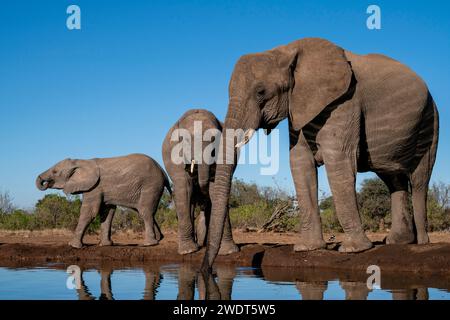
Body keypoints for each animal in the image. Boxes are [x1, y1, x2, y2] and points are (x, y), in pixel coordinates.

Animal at [36, 152, 171, 248]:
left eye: (55, 172)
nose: (43, 182)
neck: (81, 161)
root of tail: (163, 171)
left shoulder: (94, 187)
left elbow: (89, 212)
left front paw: (73, 246)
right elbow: (107, 213)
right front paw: (106, 245)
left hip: (151, 185)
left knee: (144, 211)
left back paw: (148, 244)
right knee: (144, 211)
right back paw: (159, 239)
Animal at [162, 109, 239, 255]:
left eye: (215, 139)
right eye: (186, 139)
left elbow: (216, 189)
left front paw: (228, 252)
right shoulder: (173, 155)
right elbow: (184, 188)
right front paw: (188, 251)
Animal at [201, 38, 440, 272]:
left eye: (261, 92)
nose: (207, 269)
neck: (285, 50)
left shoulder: (345, 100)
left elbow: (338, 161)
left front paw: (353, 250)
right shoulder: (299, 105)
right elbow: (299, 162)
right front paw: (308, 248)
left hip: (430, 121)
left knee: (419, 180)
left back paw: (421, 242)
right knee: (393, 178)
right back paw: (398, 241)